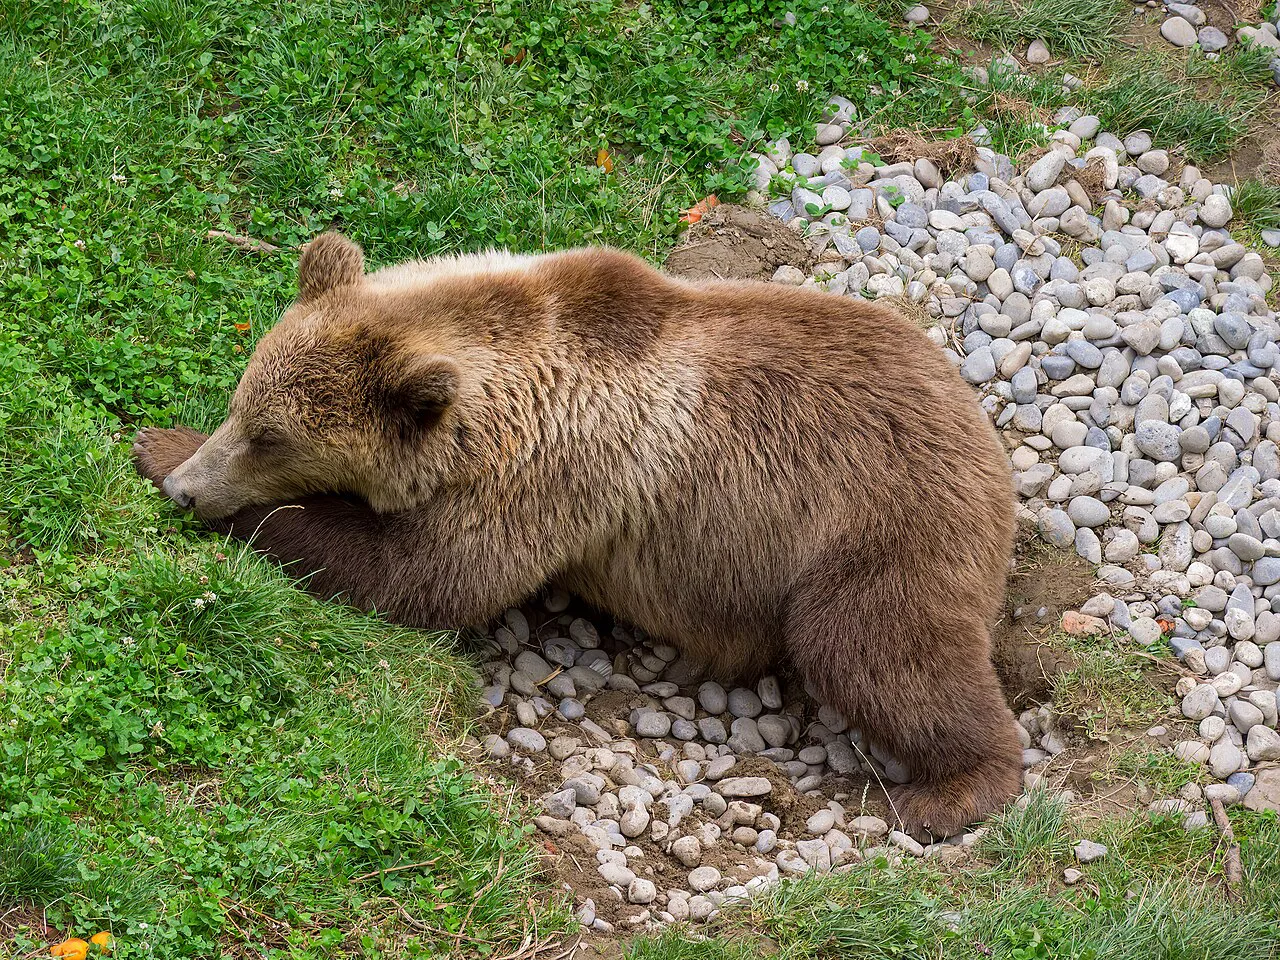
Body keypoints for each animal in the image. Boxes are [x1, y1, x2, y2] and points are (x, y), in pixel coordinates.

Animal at [133, 231, 1020, 835]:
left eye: (270, 439)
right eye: (244, 403)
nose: (188, 488)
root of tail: (984, 440)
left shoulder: (548, 479)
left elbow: (422, 577)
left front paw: (168, 451)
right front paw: (161, 445)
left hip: (876, 530)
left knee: (880, 648)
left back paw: (954, 786)